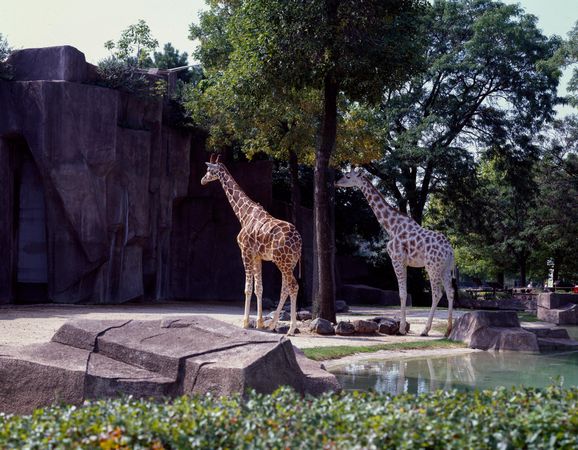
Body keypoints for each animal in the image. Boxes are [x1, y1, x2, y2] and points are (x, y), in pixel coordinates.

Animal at [200, 155, 302, 334]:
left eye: (209, 170)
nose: (202, 180)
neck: (243, 214)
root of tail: (299, 241)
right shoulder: (257, 256)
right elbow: (259, 288)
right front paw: (260, 323)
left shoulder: (245, 251)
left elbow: (247, 288)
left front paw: (245, 322)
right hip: (290, 262)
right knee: (285, 288)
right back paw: (272, 325)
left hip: (282, 261)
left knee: (293, 286)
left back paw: (290, 329)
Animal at [332, 168, 454, 334]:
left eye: (348, 176)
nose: (336, 182)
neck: (391, 226)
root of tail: (450, 250)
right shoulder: (404, 262)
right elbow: (404, 292)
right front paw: (402, 327)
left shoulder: (396, 259)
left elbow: (402, 294)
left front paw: (401, 329)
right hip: (445, 268)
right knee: (450, 292)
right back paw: (448, 329)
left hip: (432, 267)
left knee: (437, 293)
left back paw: (425, 330)